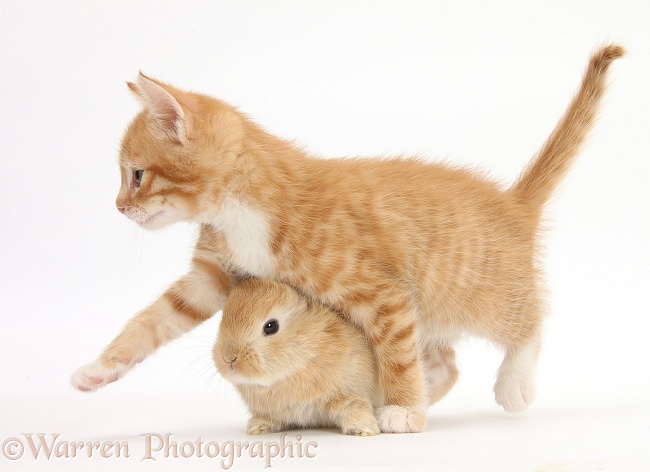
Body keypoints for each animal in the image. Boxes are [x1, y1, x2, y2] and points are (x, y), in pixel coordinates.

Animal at [214, 278, 380, 436]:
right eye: (222, 321)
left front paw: (365, 429)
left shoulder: (349, 393)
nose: (229, 358)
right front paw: (257, 428)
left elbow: (353, 408)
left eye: (271, 326)